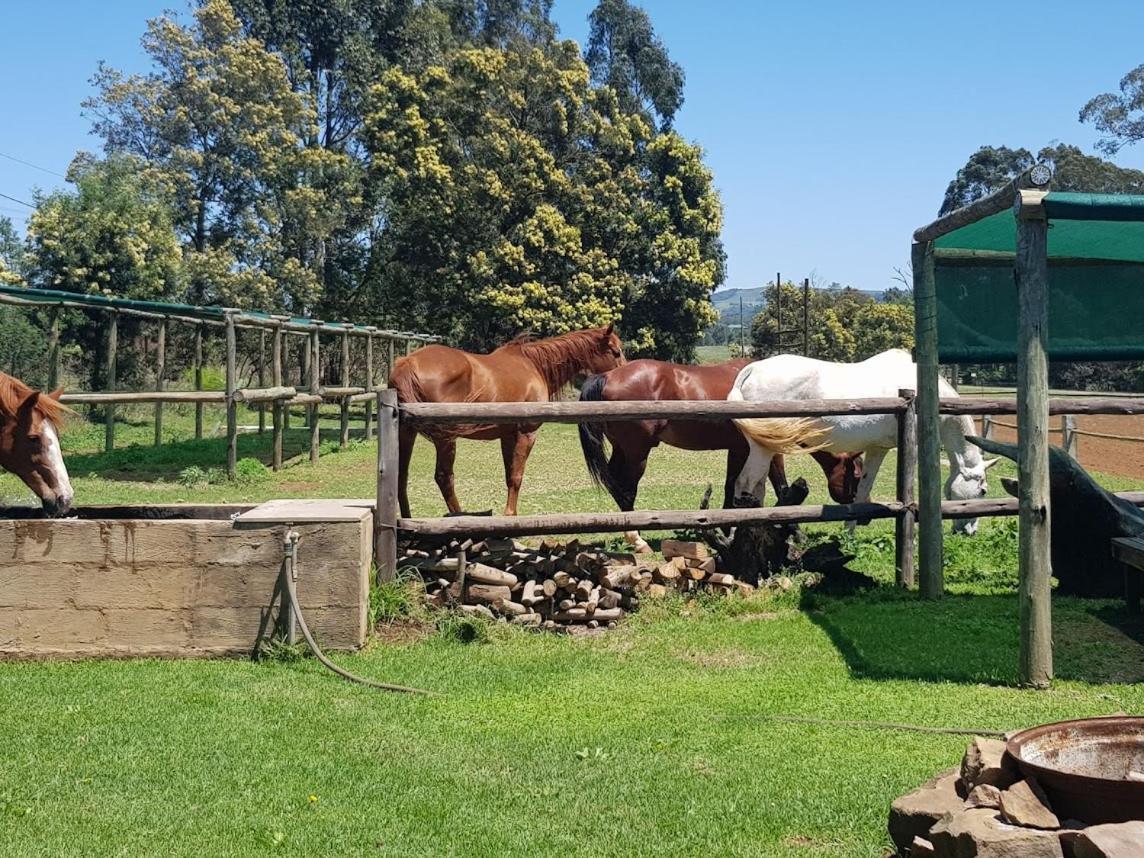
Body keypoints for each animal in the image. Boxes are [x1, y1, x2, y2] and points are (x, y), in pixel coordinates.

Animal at [393, 327, 626, 517]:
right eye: (616, 352)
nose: (624, 373)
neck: (534, 365)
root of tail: (408, 363)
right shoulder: (527, 433)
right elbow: (516, 475)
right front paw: (510, 514)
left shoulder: (507, 436)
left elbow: (508, 474)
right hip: (445, 439)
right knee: (444, 477)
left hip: (407, 434)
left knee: (401, 476)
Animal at [576, 359, 860, 553]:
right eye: (856, 474)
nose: (854, 507)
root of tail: (607, 375)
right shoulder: (766, 450)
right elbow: (779, 487)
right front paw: (796, 533)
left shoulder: (738, 450)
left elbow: (732, 488)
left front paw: (729, 527)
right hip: (637, 454)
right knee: (626, 491)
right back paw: (637, 540)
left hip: (623, 450)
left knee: (615, 485)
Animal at [727, 350, 997, 537]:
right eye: (983, 490)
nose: (970, 531)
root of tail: (752, 369)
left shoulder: (877, 449)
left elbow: (863, 489)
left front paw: (849, 532)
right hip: (764, 448)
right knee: (745, 484)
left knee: (756, 487)